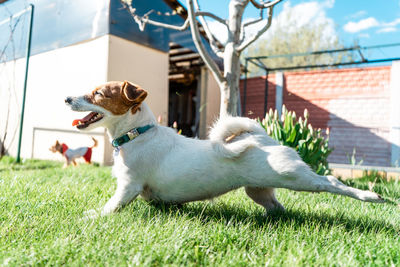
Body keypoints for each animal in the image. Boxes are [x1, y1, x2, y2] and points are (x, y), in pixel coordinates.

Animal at [65, 80, 384, 217]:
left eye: (97, 94)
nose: (66, 98)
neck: (137, 134)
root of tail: (263, 137)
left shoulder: (128, 187)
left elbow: (109, 207)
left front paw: (91, 216)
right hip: (258, 190)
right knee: (277, 207)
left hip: (294, 176)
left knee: (329, 181)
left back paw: (371, 196)